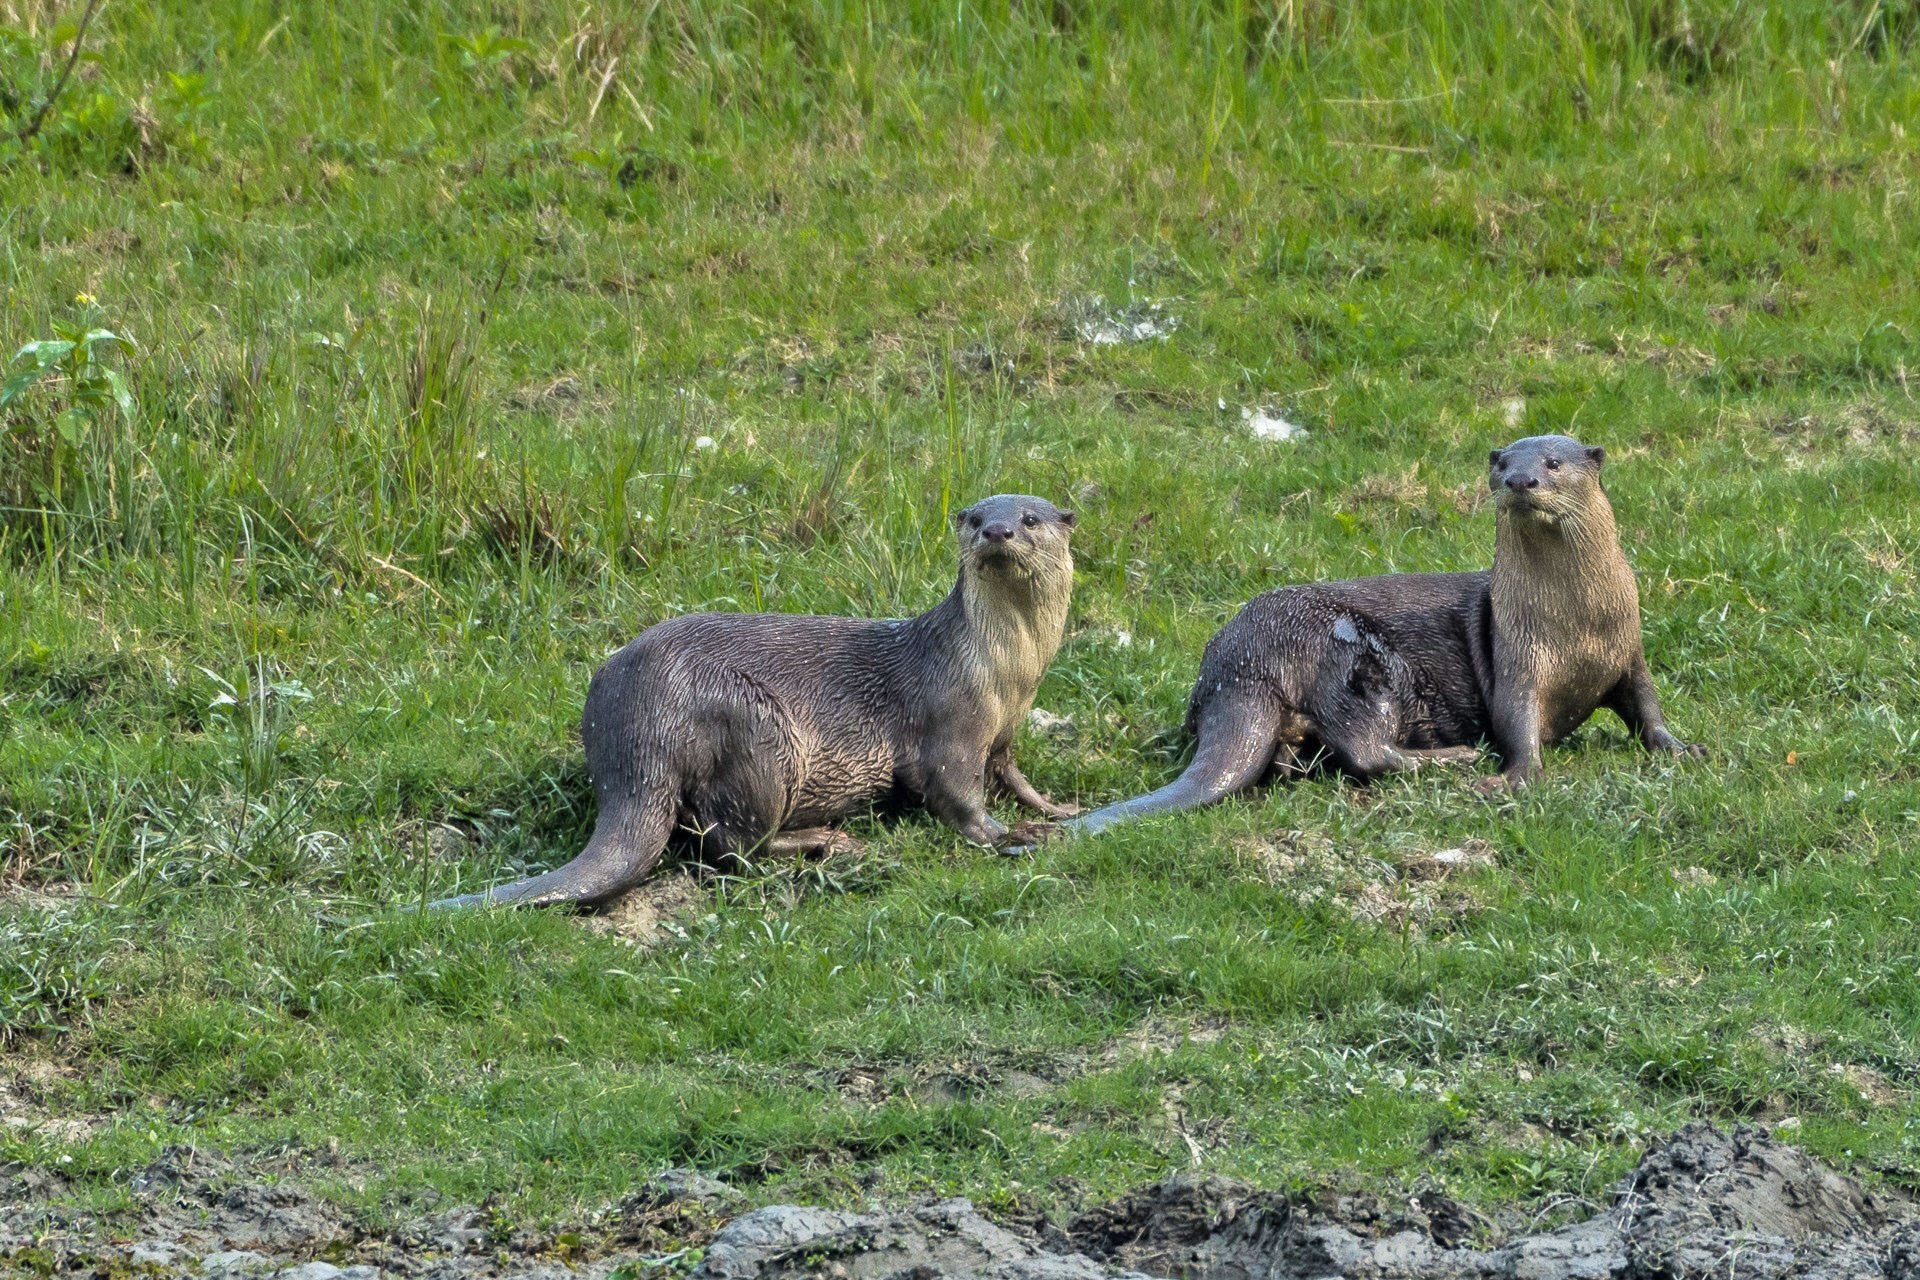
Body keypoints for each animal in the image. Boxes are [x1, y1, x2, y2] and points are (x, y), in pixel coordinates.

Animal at [435, 495, 1080, 909]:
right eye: (976, 519)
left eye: (1030, 519)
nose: (997, 533)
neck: (1003, 673)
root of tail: (634, 724)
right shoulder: (951, 723)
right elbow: (956, 797)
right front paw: (1010, 836)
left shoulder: (1003, 731)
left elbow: (1011, 774)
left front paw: (1054, 808)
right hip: (757, 731)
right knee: (736, 847)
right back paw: (831, 841)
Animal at [1057, 436, 1702, 838]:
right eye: (1502, 465)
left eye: (1553, 462)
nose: (1521, 480)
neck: (1578, 626)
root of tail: (1239, 665)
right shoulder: (1520, 663)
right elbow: (1517, 722)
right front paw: (1515, 777)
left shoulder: (1629, 654)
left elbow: (1647, 707)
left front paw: (1682, 748)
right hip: (1354, 661)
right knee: (1366, 750)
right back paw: (1456, 758)